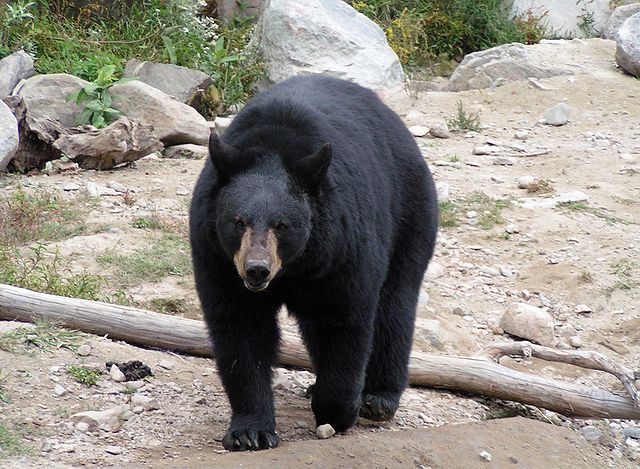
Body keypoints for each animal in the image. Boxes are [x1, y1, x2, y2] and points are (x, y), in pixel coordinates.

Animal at [190, 75, 438, 452]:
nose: (256, 269)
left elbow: (344, 321)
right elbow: (239, 329)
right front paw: (250, 431)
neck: (294, 268)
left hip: (410, 212)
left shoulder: (342, 249)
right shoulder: (217, 257)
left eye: (281, 224)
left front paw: (338, 410)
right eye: (238, 221)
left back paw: (378, 397)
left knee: (395, 304)